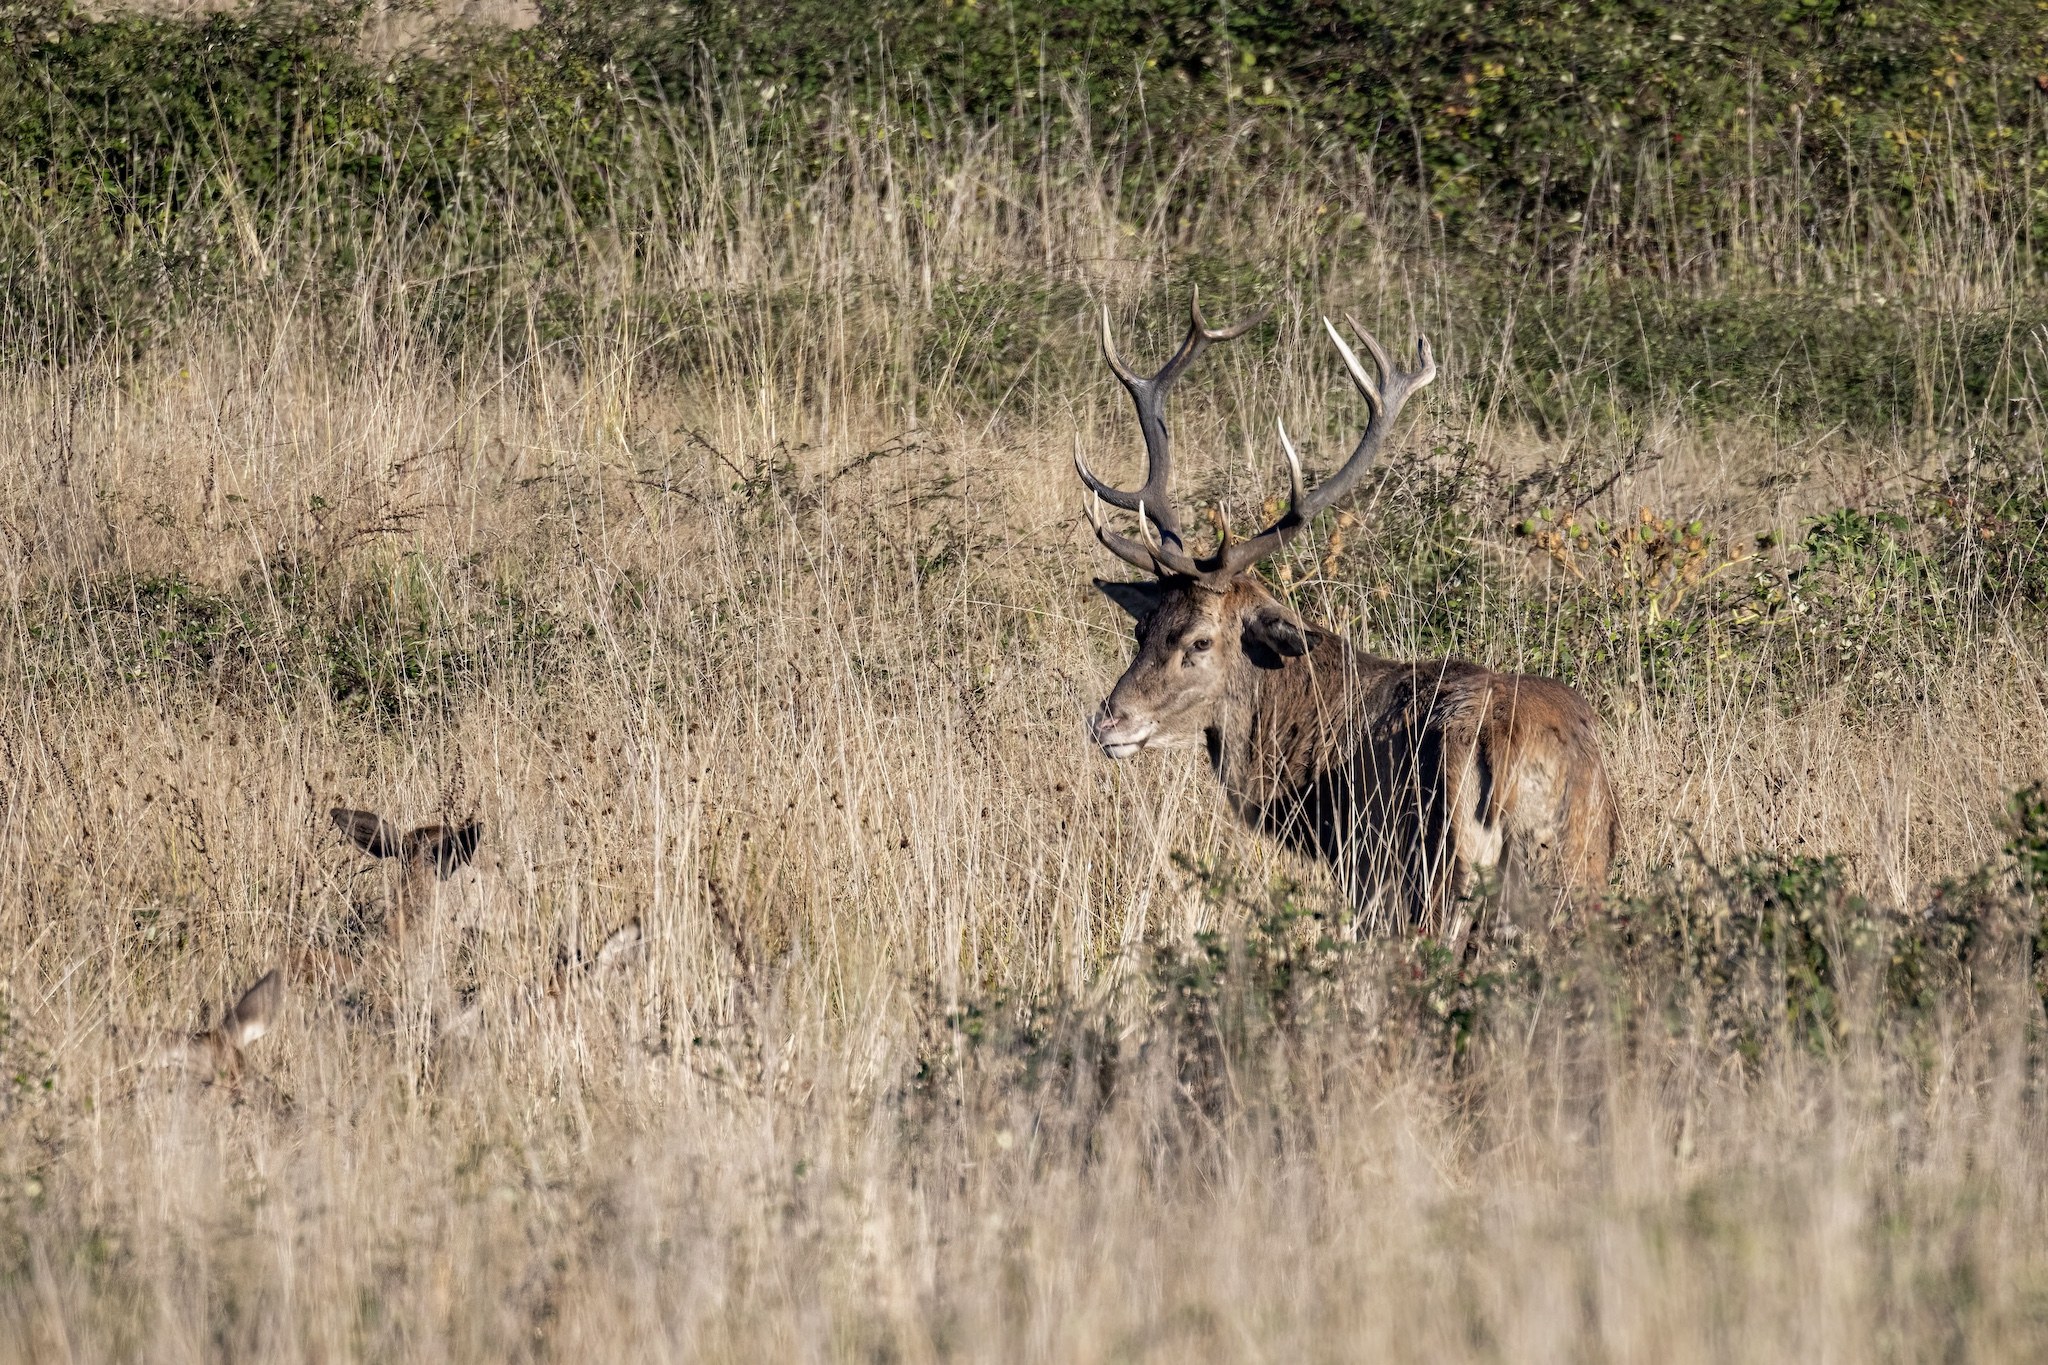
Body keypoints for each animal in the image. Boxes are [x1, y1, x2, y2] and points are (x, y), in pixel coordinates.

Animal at [1075, 294, 1619, 935]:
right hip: (1574, 866)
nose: (1108, 723)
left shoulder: (1367, 871)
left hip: (1434, 872)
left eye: (1201, 641)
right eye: (1142, 628)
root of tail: (1502, 753)